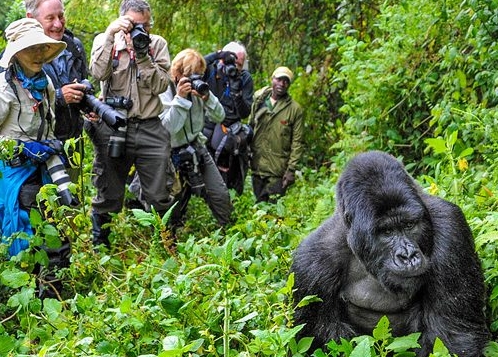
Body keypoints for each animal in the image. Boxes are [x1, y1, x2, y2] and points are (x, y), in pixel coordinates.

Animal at [292, 150, 490, 356]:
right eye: (387, 232)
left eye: (409, 225)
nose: (408, 256)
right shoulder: (311, 266)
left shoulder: (451, 227)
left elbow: (452, 336)